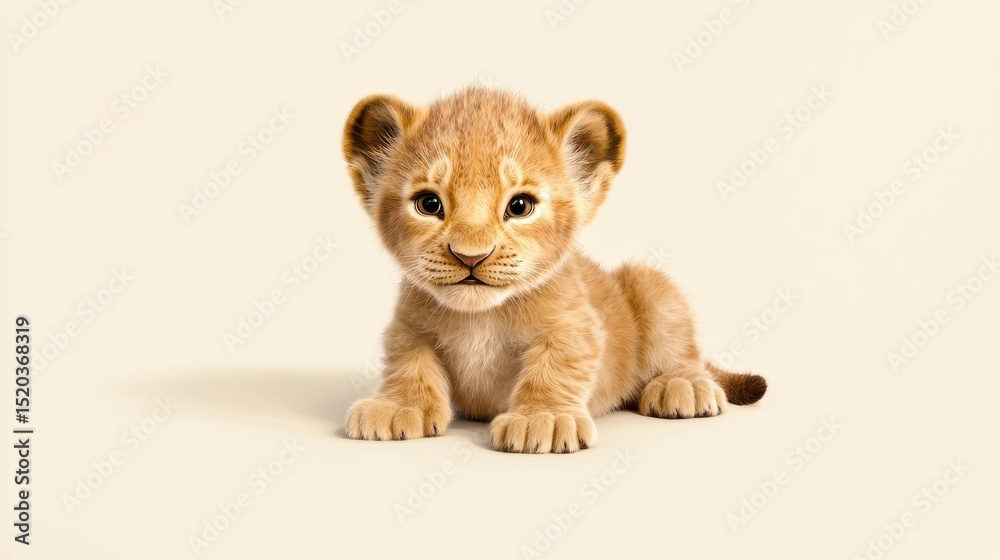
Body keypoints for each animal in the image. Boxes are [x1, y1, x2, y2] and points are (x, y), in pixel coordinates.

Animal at [342, 87, 766, 453]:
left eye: (520, 206)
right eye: (428, 204)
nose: (470, 257)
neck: (480, 317)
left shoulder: (577, 323)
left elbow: (557, 363)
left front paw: (541, 419)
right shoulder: (408, 326)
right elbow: (408, 362)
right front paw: (398, 407)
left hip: (652, 286)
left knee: (685, 355)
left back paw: (684, 386)